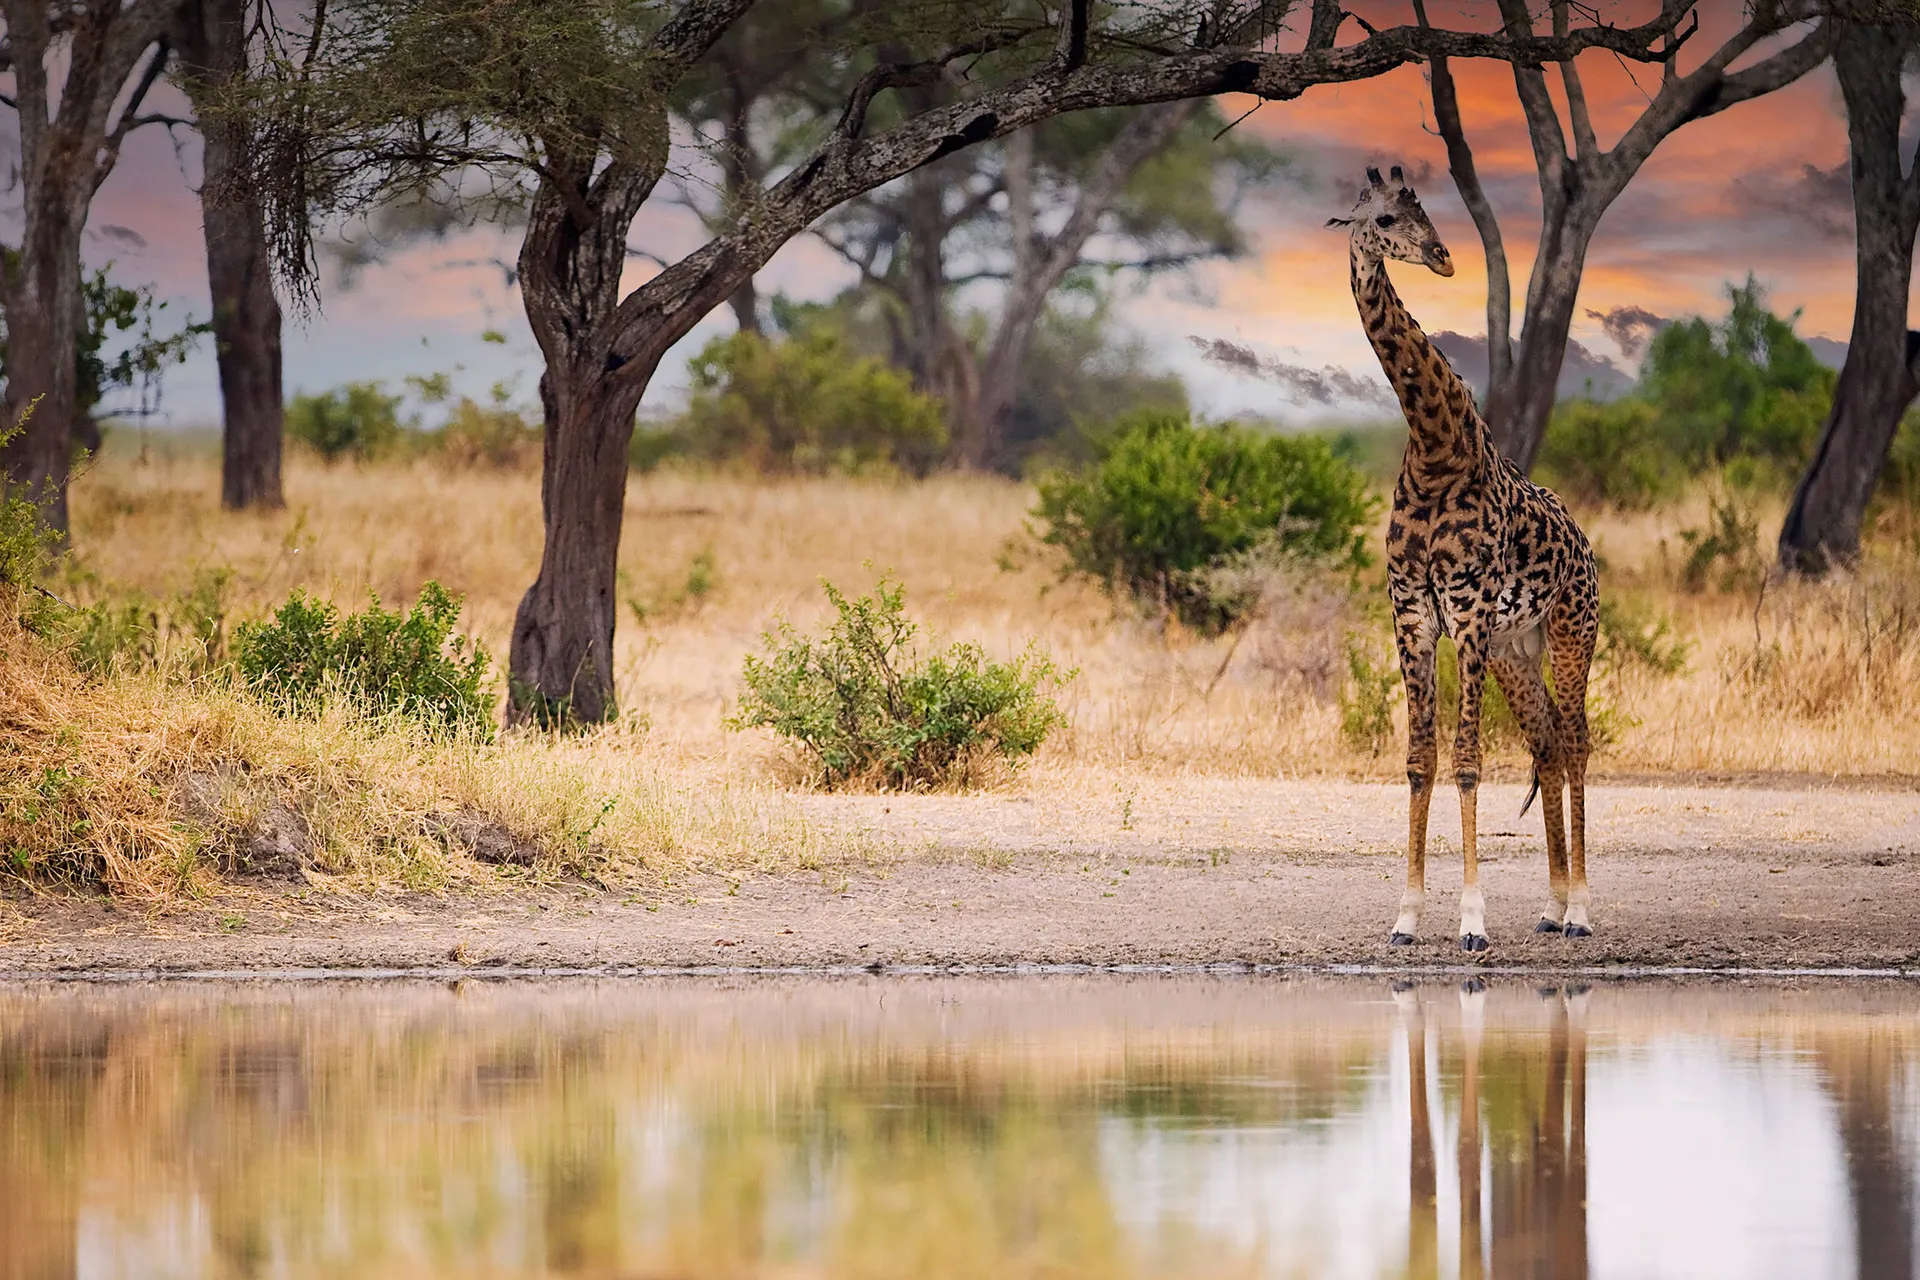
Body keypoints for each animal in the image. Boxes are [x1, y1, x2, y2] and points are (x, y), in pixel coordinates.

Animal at [1329, 165, 1601, 950]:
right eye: (1384, 218)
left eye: (1425, 211)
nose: (1444, 258)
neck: (1434, 449)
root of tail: (1586, 545)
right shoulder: (1413, 612)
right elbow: (1420, 761)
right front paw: (1407, 915)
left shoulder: (1470, 611)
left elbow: (1469, 762)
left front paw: (1473, 921)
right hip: (1518, 649)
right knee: (1547, 741)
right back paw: (1550, 906)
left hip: (1571, 634)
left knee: (1577, 741)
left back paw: (1580, 911)